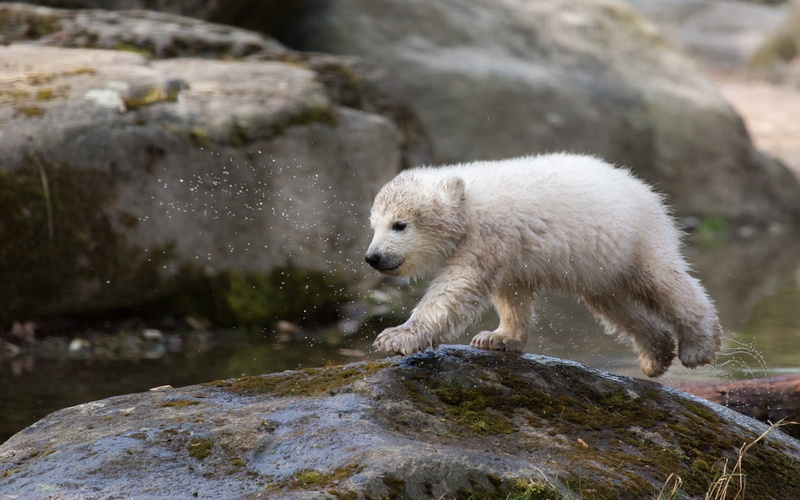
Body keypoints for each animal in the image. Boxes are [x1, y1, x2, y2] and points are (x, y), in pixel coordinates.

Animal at [364, 153, 722, 377]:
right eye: (373, 225)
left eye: (399, 225)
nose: (373, 257)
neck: (469, 201)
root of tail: (641, 186)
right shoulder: (509, 251)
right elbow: (511, 294)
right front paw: (498, 338)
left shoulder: (488, 234)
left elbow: (458, 286)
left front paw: (396, 337)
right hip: (601, 263)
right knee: (614, 305)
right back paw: (655, 355)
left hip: (633, 238)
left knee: (665, 282)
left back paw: (698, 346)